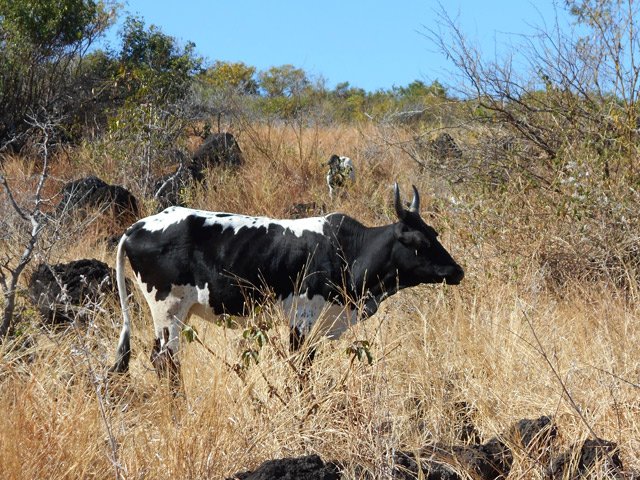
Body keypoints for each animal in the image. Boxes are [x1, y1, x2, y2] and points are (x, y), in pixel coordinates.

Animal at [111, 184, 464, 385]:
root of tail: (137, 227)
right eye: (417, 240)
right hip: (168, 312)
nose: (457, 271)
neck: (349, 251)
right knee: (165, 361)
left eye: (434, 233)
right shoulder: (301, 321)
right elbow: (300, 372)